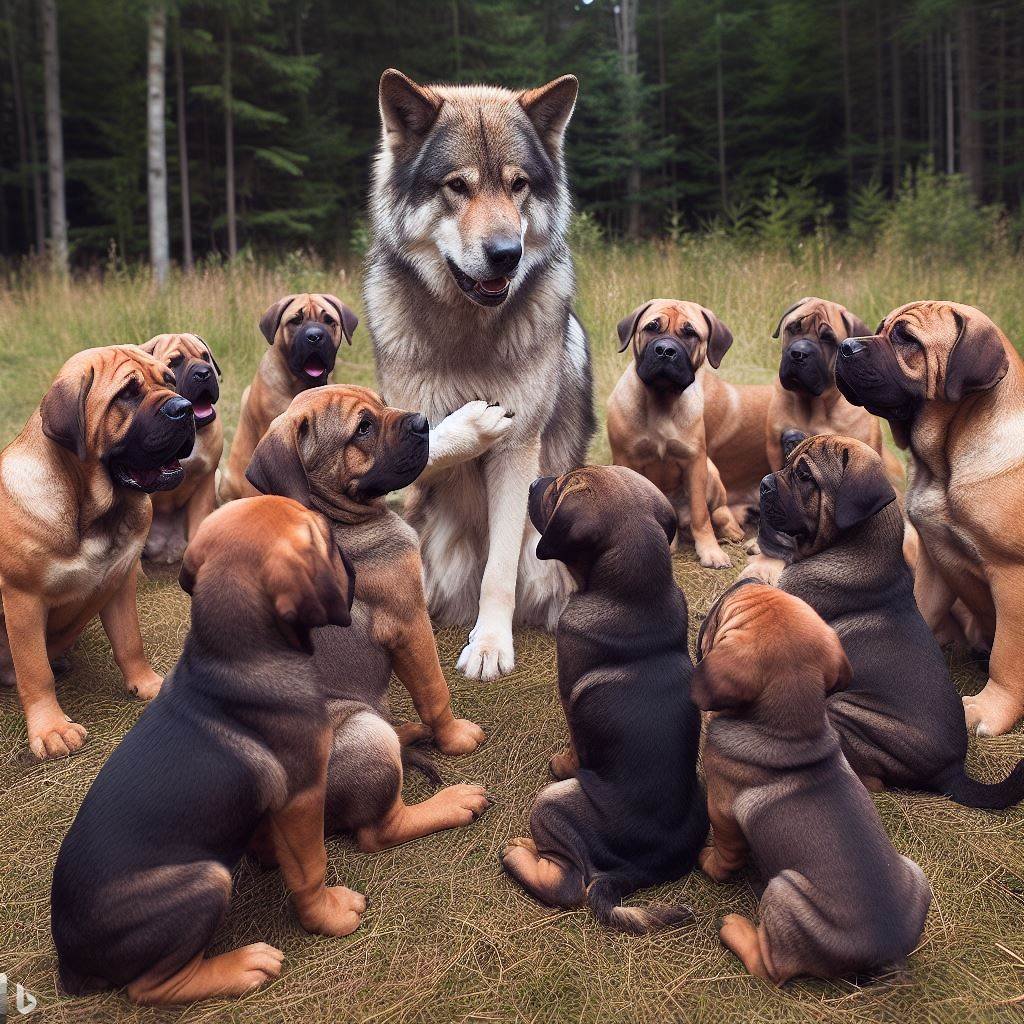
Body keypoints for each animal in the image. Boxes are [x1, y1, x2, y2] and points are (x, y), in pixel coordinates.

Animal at [363, 69, 595, 681]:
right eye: (457, 186)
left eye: (518, 186)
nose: (506, 253)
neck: (469, 328)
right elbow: (429, 440)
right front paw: (469, 424)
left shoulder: (520, 449)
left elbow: (499, 572)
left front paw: (490, 645)